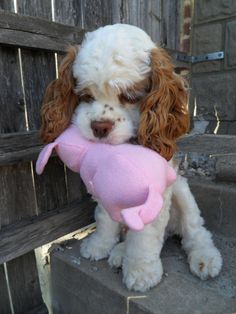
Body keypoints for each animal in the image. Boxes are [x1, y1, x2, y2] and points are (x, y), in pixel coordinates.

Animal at [39, 24, 222, 292]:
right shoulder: (105, 190)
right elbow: (105, 218)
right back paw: (119, 252)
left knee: (194, 229)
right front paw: (100, 245)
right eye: (86, 96)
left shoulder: (156, 195)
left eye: (130, 96)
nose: (99, 127)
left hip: (182, 192)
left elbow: (145, 235)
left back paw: (205, 256)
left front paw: (141, 271)